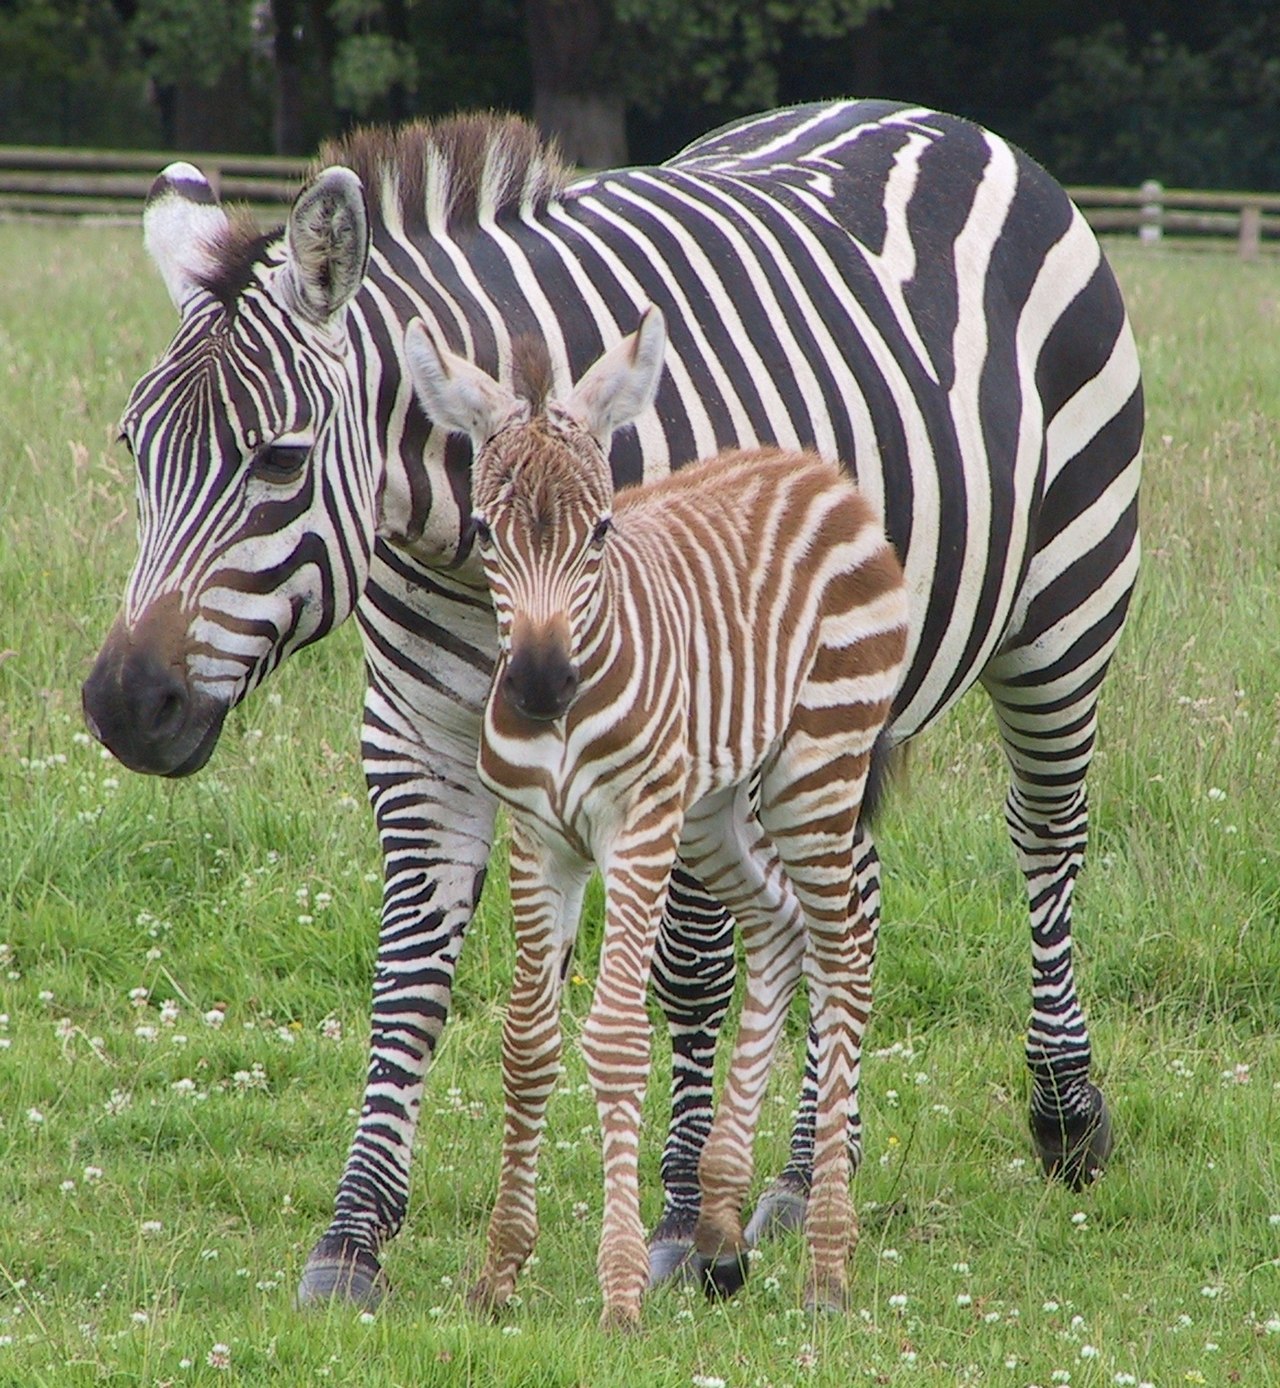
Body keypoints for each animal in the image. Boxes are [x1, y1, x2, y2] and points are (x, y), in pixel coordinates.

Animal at [405, 309, 910, 1326]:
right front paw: (499, 1273)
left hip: (814, 773)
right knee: (780, 926)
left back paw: (827, 1263)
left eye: (601, 530)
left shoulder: (635, 827)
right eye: (484, 532)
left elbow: (614, 1040)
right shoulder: (540, 839)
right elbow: (527, 1045)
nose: (539, 687)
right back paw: (717, 1229)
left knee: (845, 958)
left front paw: (620, 1291)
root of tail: (816, 470)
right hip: (713, 809)